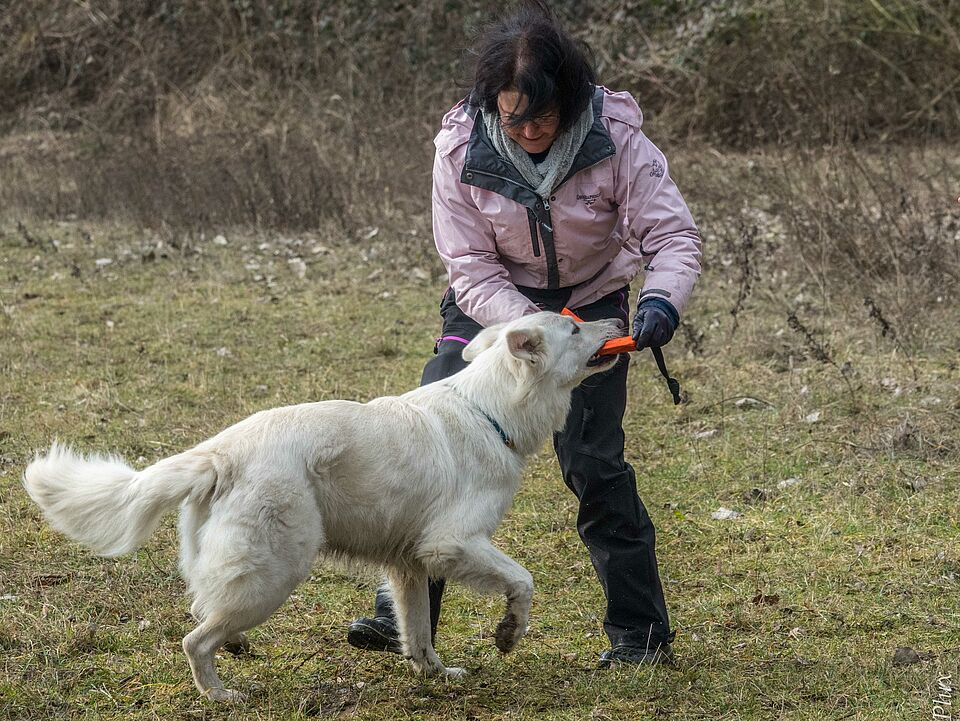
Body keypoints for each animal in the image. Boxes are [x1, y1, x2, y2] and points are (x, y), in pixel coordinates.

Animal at [26, 312, 624, 700]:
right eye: (574, 328)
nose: (617, 316)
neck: (489, 410)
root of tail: (219, 451)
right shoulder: (452, 543)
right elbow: (522, 581)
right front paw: (508, 633)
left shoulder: (409, 567)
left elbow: (418, 630)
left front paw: (433, 673)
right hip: (277, 571)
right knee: (195, 639)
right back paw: (219, 694)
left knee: (204, 608)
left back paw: (233, 648)